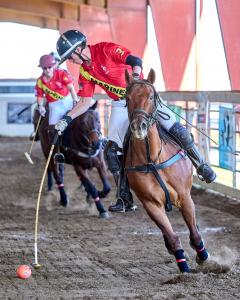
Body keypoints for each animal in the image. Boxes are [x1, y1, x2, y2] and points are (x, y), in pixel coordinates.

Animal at [124, 69, 210, 274]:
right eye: (127, 97)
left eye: (151, 96)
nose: (139, 126)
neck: (153, 160)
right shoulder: (151, 204)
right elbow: (172, 236)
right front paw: (184, 267)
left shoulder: (185, 196)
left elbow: (195, 234)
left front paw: (203, 256)